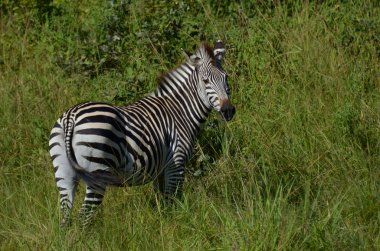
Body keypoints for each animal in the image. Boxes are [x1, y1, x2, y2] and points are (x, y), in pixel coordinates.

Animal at [49, 40, 236, 226]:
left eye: (226, 77)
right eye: (205, 81)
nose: (228, 111)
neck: (180, 111)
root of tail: (71, 117)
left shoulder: (160, 169)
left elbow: (162, 203)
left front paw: (163, 225)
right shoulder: (176, 163)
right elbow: (172, 201)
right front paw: (173, 227)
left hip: (63, 173)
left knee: (65, 216)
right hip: (97, 171)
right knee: (84, 217)